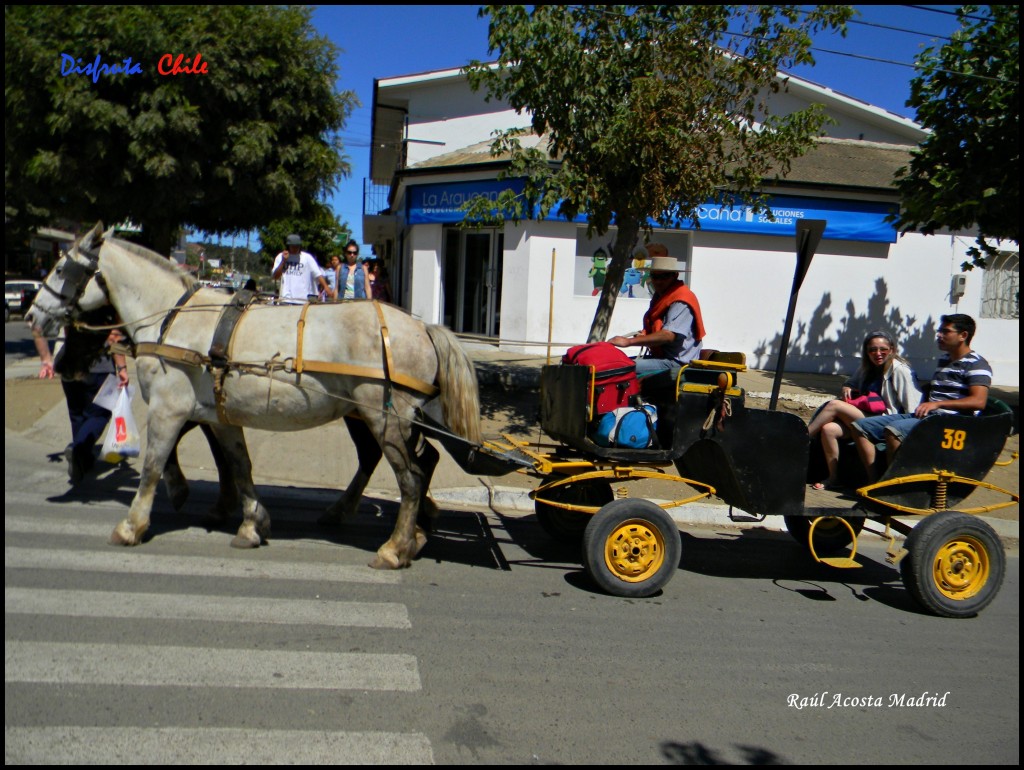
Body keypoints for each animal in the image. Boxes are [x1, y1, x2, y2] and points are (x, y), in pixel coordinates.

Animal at [27, 219, 483, 569]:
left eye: (63, 269)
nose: (32, 315)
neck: (173, 319)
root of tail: (422, 326)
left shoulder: (169, 409)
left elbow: (155, 464)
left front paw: (132, 525)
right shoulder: (220, 414)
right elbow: (239, 465)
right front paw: (251, 523)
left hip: (382, 417)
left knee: (411, 477)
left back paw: (395, 547)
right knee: (415, 464)